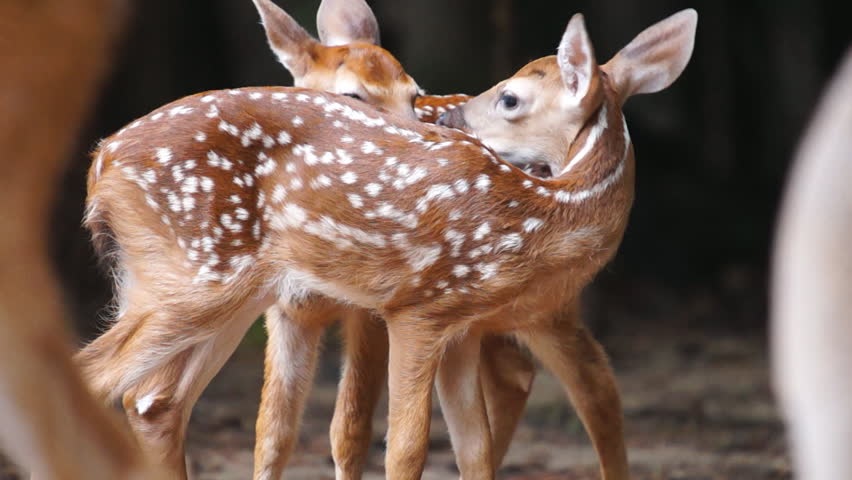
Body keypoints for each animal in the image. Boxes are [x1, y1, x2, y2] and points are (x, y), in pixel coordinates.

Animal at [76, 7, 696, 480]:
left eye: (511, 98)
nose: (448, 119)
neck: (546, 211)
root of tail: (101, 159)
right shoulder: (418, 308)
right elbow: (403, 448)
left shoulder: (459, 325)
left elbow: (469, 449)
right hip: (200, 276)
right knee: (102, 379)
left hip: (214, 288)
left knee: (152, 400)